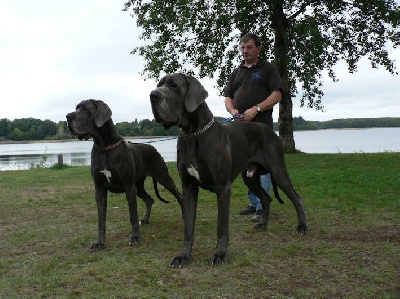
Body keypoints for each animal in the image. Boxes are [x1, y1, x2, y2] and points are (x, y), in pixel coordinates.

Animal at [66, 99, 182, 252]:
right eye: (76, 108)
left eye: (85, 109)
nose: (67, 116)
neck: (104, 147)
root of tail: (152, 147)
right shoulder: (100, 189)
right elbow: (101, 219)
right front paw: (99, 242)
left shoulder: (128, 187)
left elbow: (133, 215)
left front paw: (135, 237)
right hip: (138, 186)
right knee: (150, 200)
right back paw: (145, 219)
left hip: (162, 177)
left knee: (178, 194)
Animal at [150, 74, 310, 268]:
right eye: (159, 84)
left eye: (173, 86)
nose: (152, 95)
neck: (193, 134)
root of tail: (273, 132)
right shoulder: (188, 188)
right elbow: (188, 227)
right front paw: (183, 256)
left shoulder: (223, 189)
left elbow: (222, 226)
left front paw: (220, 254)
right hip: (250, 177)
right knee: (267, 198)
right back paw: (263, 225)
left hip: (278, 171)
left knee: (296, 197)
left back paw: (302, 226)